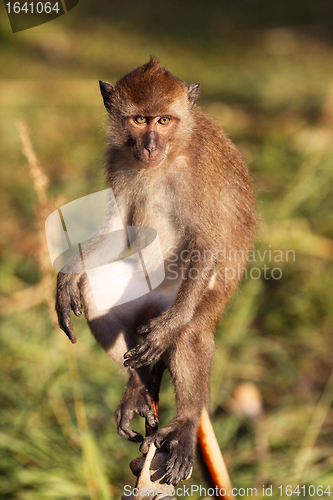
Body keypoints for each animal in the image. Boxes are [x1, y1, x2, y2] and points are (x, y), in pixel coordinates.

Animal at [56, 56, 254, 486]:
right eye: (139, 119)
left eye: (164, 121)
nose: (148, 145)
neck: (172, 152)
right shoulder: (117, 160)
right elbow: (116, 232)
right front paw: (66, 279)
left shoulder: (201, 170)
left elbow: (207, 241)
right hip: (140, 296)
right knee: (98, 292)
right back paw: (139, 384)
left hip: (189, 300)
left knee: (190, 332)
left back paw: (184, 422)